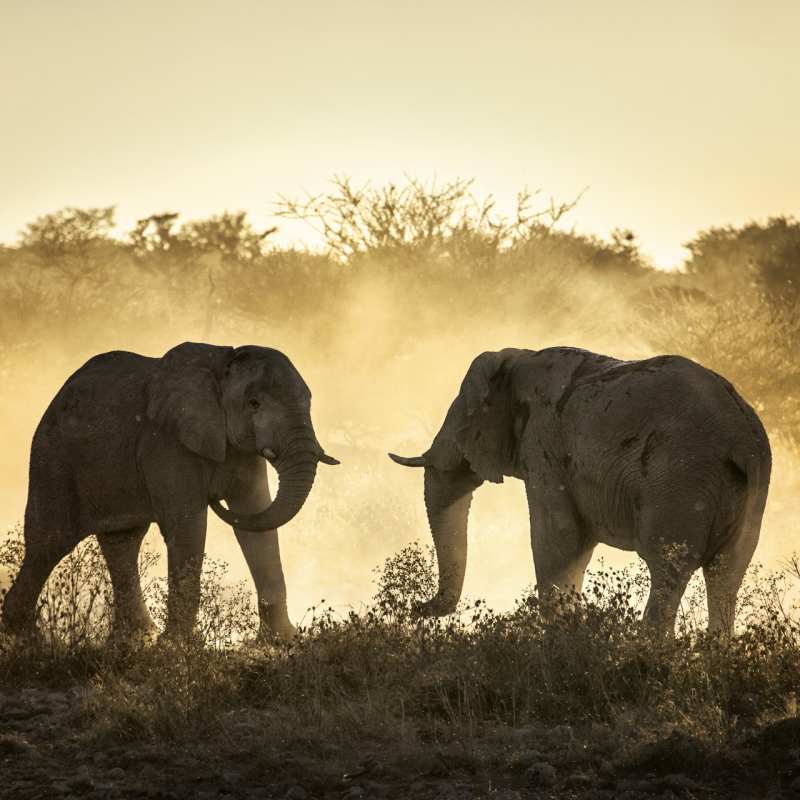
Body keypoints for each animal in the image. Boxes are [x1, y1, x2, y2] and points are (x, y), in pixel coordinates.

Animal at [2, 342, 338, 642]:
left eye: (309, 401)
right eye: (254, 403)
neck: (221, 363)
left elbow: (255, 518)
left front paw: (284, 641)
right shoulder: (165, 442)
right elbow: (189, 525)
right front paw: (179, 647)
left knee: (122, 543)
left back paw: (137, 638)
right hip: (52, 460)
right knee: (49, 544)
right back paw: (25, 638)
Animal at [389, 347, 771, 635]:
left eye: (460, 421)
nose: (415, 607)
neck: (520, 358)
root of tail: (742, 438)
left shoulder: (544, 444)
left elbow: (558, 539)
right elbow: (576, 544)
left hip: (679, 478)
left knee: (669, 567)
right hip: (749, 491)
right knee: (726, 572)